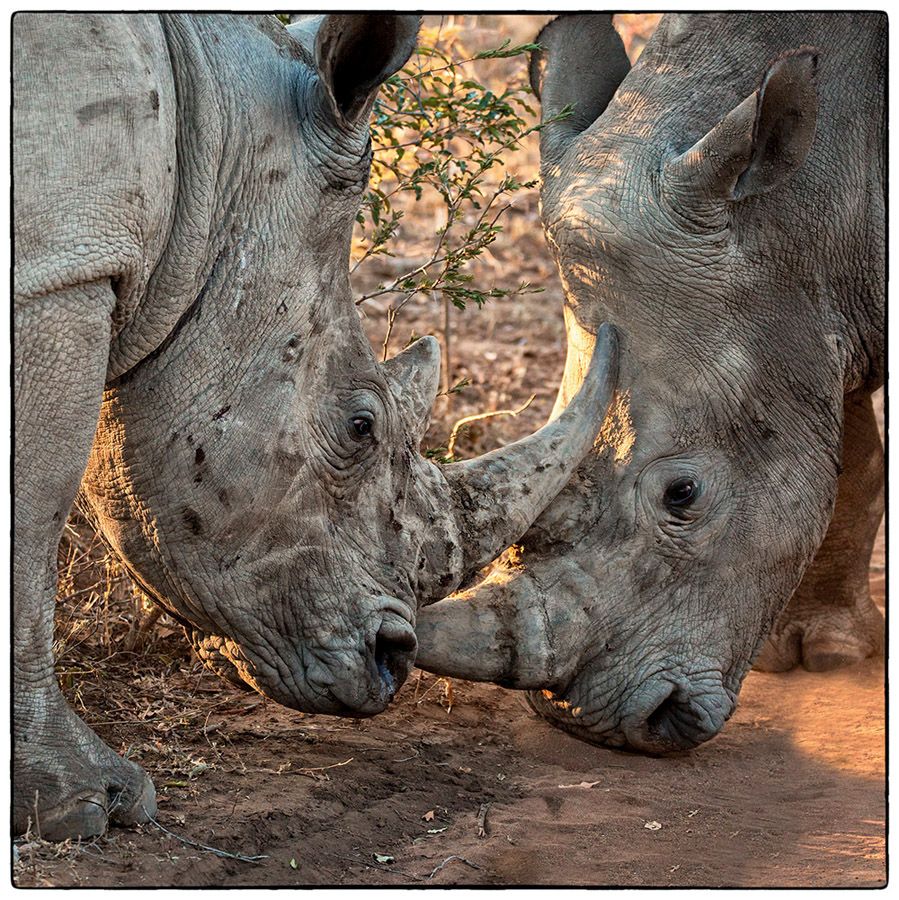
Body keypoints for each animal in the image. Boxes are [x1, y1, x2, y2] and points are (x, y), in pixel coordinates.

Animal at [14, 10, 620, 840]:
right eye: (361, 426)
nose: (393, 659)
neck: (209, 153)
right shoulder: (59, 271)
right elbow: (32, 521)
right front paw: (87, 806)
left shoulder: (65, 260)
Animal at [420, 15, 884, 752]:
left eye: (682, 494)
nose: (591, 722)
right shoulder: (806, 305)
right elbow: (851, 457)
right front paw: (823, 648)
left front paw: (833, 654)